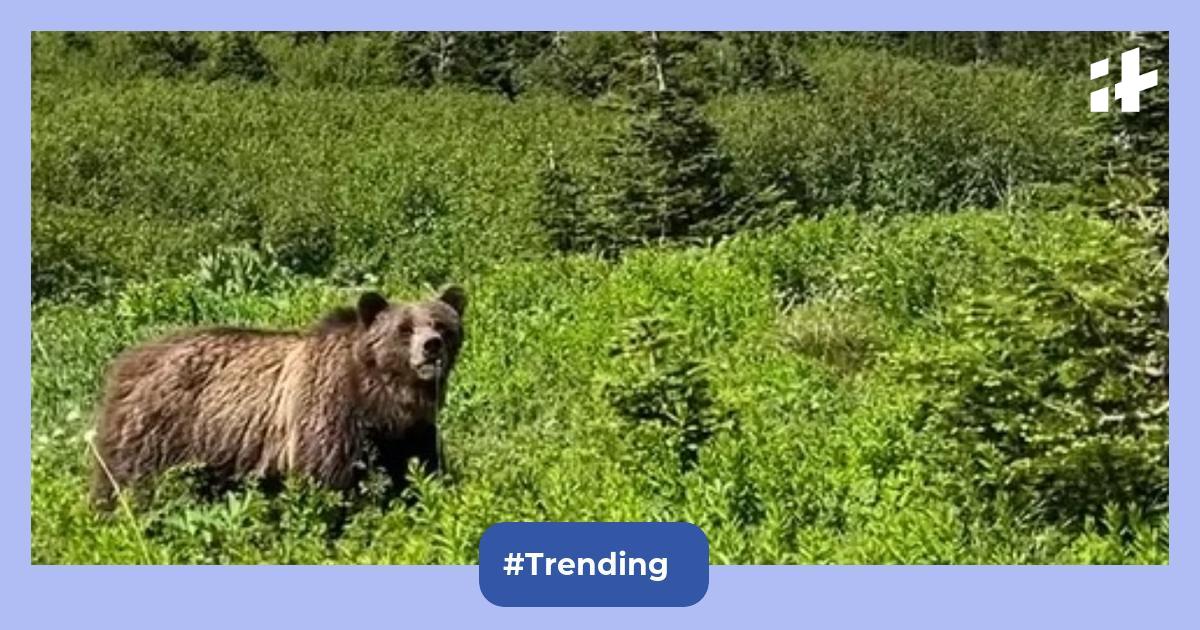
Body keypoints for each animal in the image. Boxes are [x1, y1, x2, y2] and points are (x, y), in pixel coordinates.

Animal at [84, 284, 465, 506]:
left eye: (442, 325)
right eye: (404, 329)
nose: (431, 346)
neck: (382, 400)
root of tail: (127, 361)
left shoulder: (409, 433)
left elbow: (420, 468)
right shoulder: (328, 412)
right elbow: (329, 482)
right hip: (158, 429)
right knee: (128, 483)